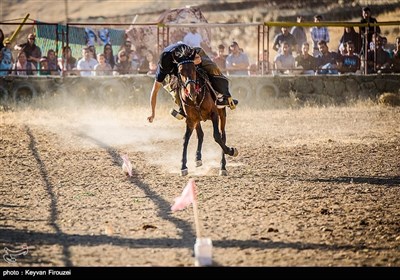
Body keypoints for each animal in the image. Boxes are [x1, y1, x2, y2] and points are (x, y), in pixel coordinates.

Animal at [172, 46, 238, 177]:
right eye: (180, 72)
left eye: (193, 69)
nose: (191, 92)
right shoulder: (190, 120)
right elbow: (185, 139)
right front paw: (183, 166)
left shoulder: (214, 114)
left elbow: (217, 136)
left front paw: (231, 150)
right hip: (197, 119)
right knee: (201, 134)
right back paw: (198, 158)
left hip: (222, 115)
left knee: (223, 136)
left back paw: (223, 166)